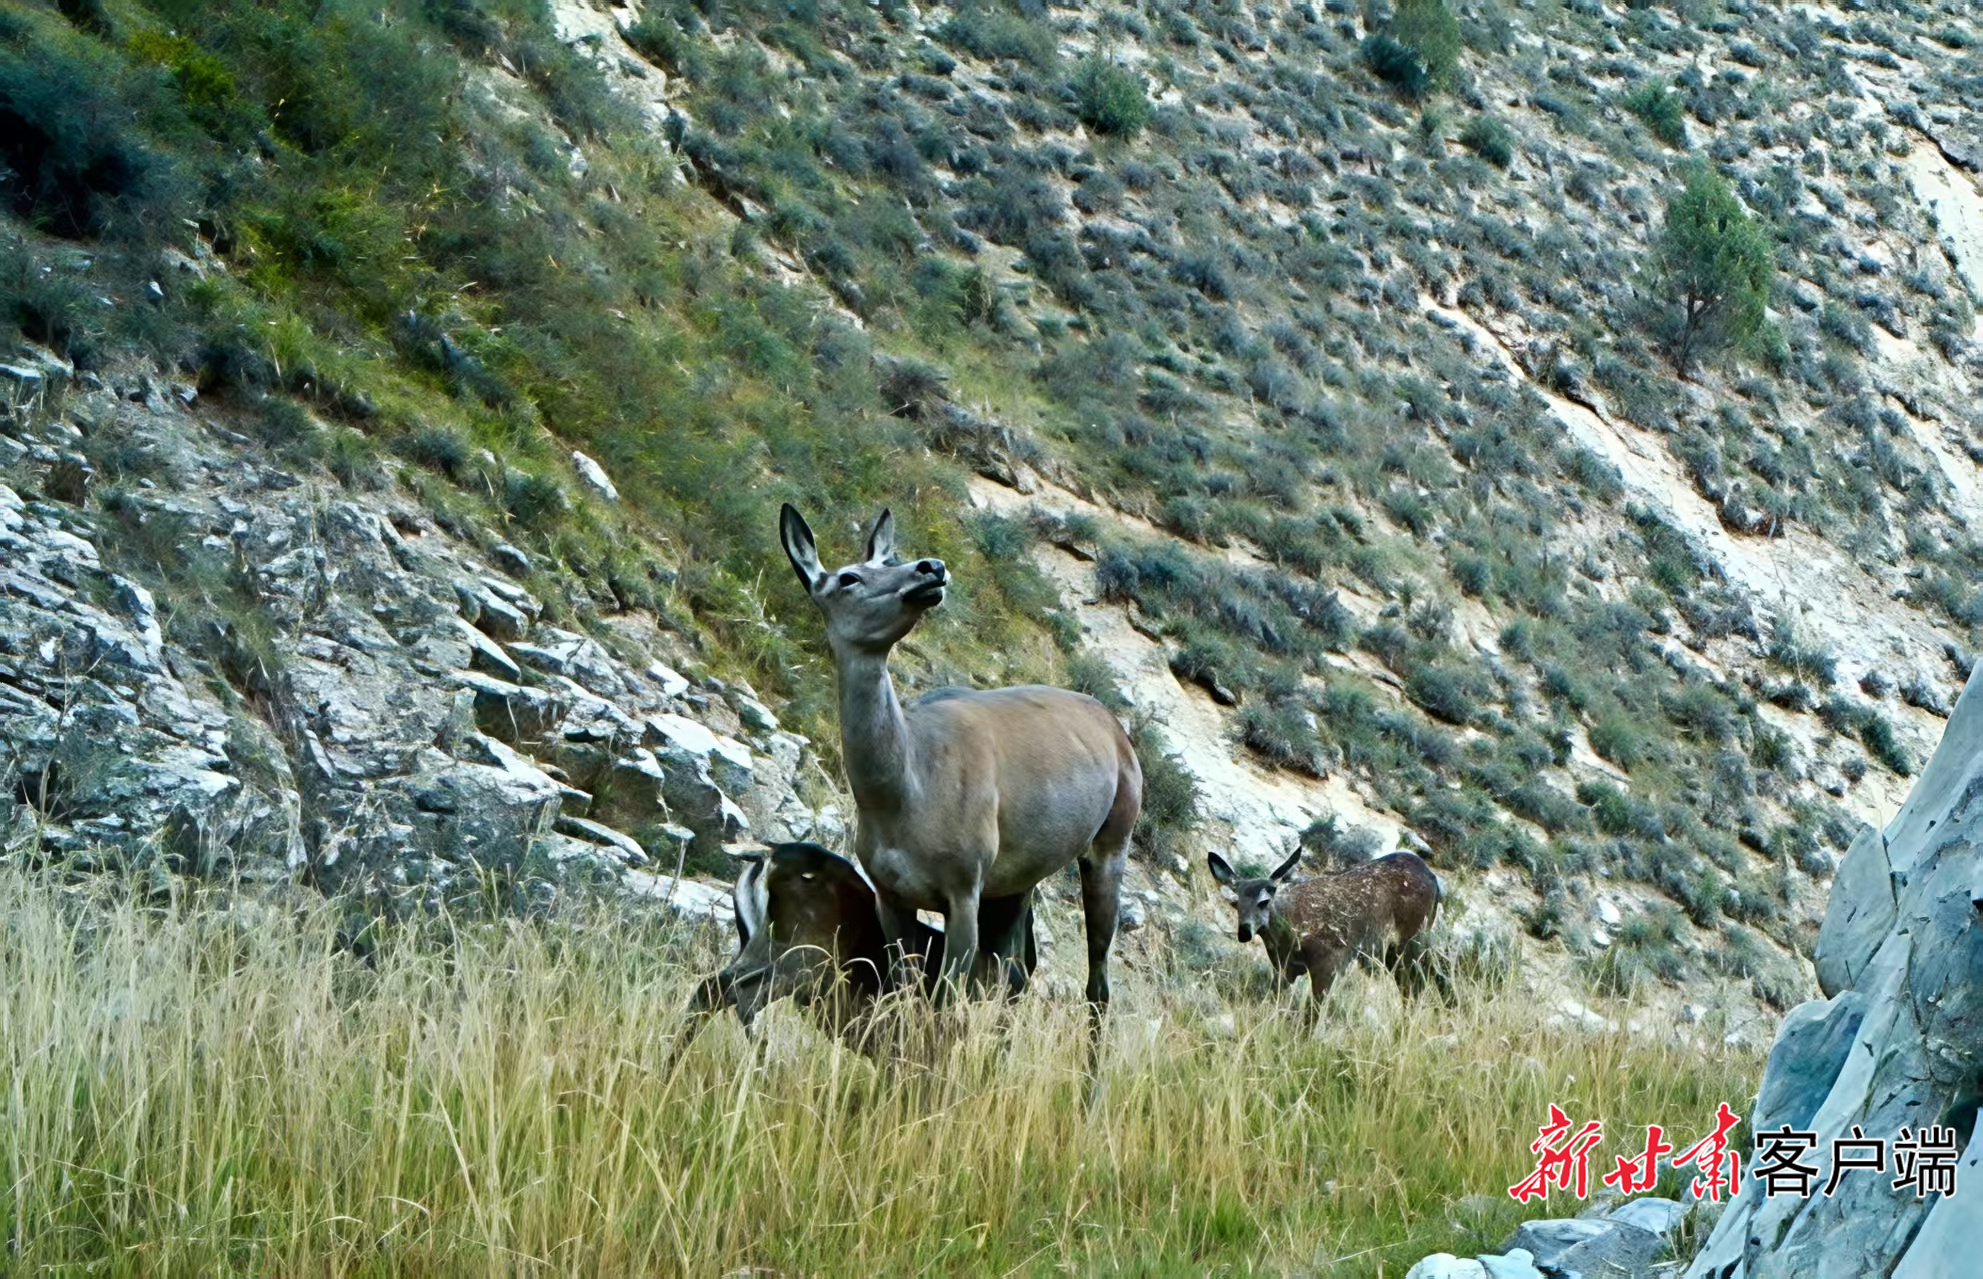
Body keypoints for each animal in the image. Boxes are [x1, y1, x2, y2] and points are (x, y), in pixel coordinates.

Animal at [778, 503, 1143, 1019]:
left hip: (1110, 842)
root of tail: (1116, 730)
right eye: (848, 577)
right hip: (1018, 881)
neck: (906, 794)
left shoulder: (964, 886)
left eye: (890, 560)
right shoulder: (891, 894)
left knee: (1096, 980)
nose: (930, 567)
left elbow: (947, 996)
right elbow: (906, 987)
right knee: (1019, 969)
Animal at [1207, 845, 1448, 1010]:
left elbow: (1311, 1016)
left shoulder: (1329, 962)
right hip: (1395, 950)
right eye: (1236, 904)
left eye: (1264, 901)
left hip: (1411, 938)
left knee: (1419, 982)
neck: (1289, 936)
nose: (1244, 932)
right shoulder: (1284, 970)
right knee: (1425, 978)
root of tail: (1433, 879)